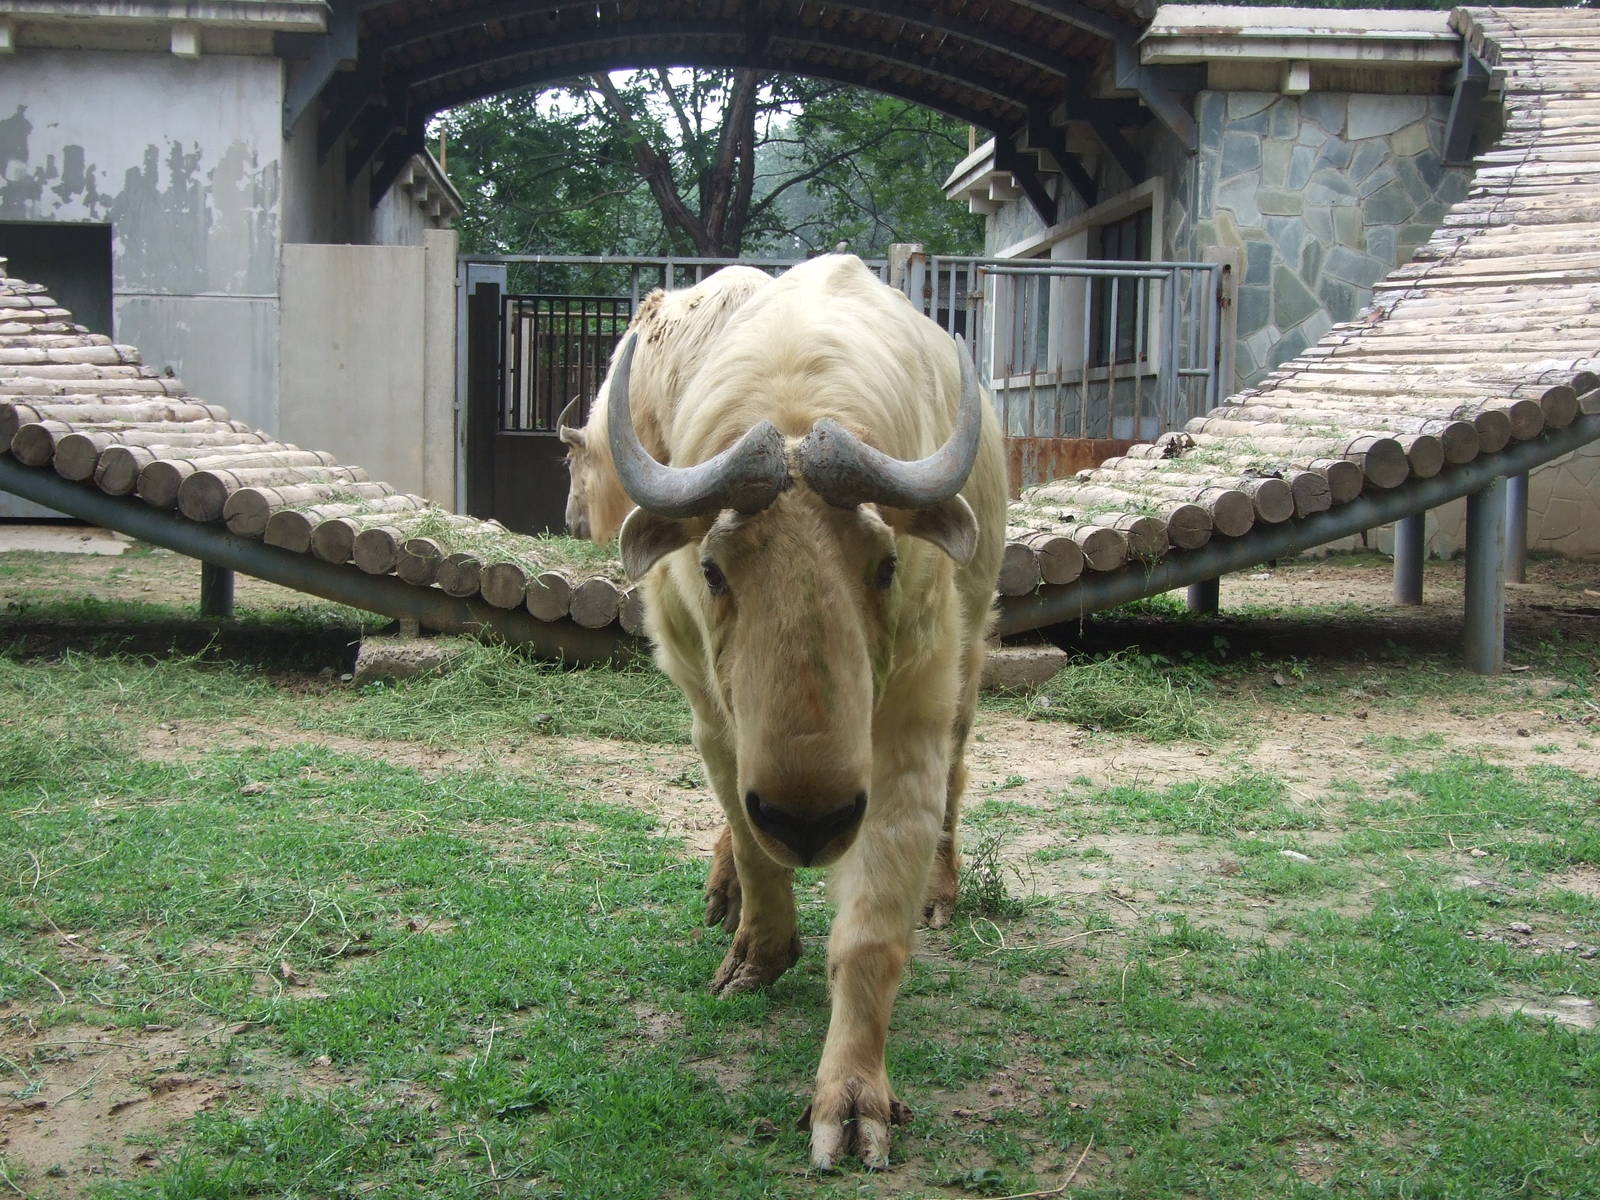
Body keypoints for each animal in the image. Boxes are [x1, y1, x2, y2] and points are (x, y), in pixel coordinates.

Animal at [607, 254, 1007, 1170]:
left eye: (885, 565)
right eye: (713, 570)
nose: (811, 822)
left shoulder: (907, 724)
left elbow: (869, 931)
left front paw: (852, 1097)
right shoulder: (712, 715)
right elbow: (751, 840)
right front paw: (757, 952)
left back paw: (940, 891)